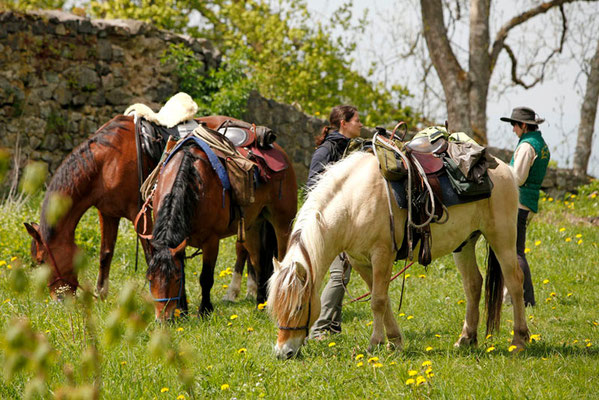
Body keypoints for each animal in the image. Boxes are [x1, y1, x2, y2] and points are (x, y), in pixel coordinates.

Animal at [147, 139, 298, 320]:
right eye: (150, 279)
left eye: (175, 279)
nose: (163, 319)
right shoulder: (180, 243)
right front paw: (182, 312)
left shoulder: (211, 241)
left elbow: (206, 278)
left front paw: (204, 311)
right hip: (252, 227)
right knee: (258, 262)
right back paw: (261, 304)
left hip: (282, 223)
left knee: (282, 258)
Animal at [268, 151, 528, 360]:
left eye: (299, 307)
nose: (283, 353)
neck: (353, 204)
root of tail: (505, 170)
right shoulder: (360, 261)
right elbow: (382, 299)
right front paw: (394, 341)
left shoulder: (382, 255)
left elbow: (377, 301)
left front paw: (375, 343)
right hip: (464, 244)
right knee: (473, 284)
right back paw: (466, 339)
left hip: (502, 238)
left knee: (515, 282)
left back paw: (519, 340)